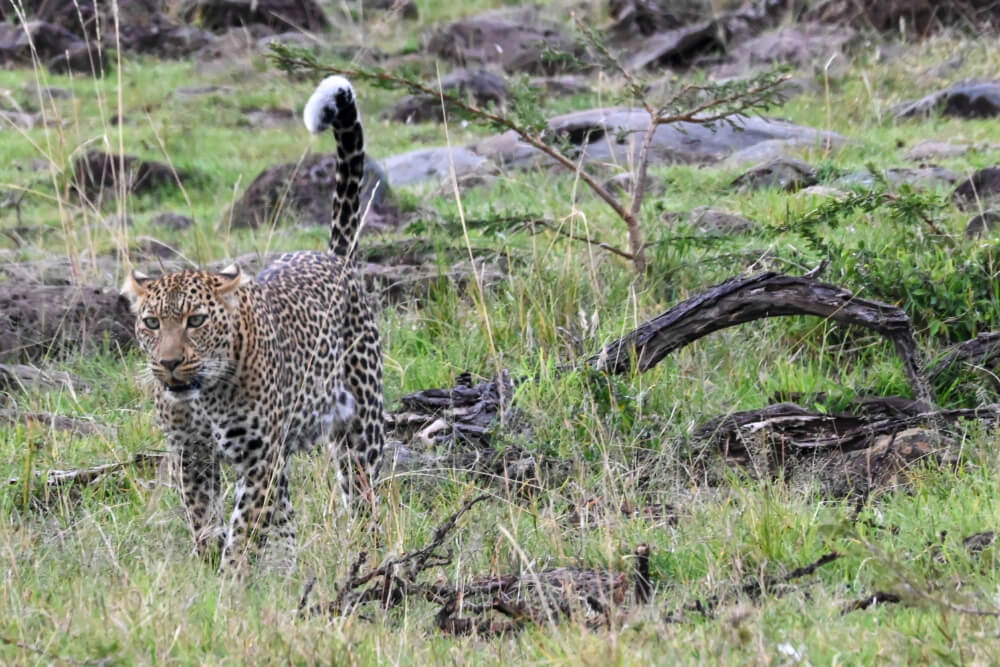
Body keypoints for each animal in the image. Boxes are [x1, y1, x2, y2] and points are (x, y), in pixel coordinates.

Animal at [121, 76, 384, 574]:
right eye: (151, 322)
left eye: (196, 320)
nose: (169, 363)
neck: (204, 397)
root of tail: (336, 258)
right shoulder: (192, 453)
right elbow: (204, 519)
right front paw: (212, 566)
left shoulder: (259, 455)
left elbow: (244, 530)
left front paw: (230, 580)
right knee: (287, 518)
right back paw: (285, 572)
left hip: (361, 425)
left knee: (364, 496)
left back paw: (368, 554)